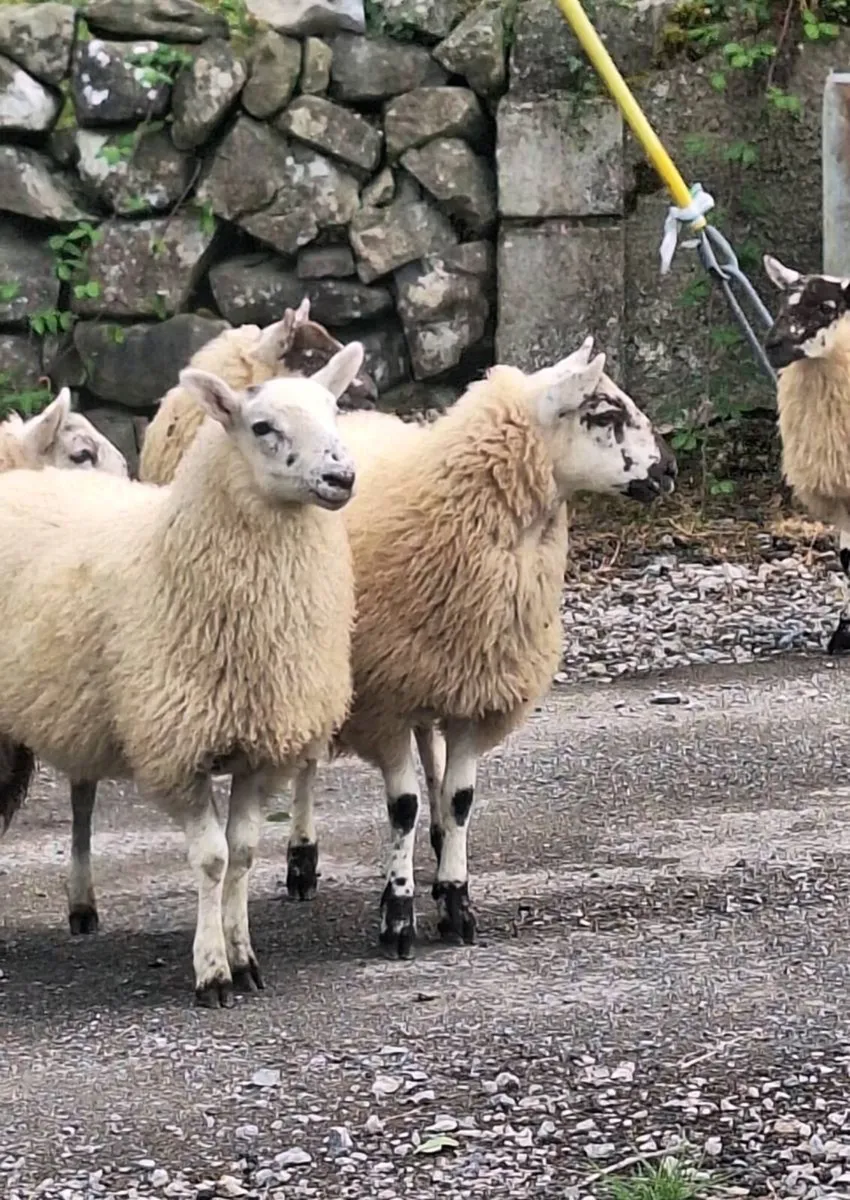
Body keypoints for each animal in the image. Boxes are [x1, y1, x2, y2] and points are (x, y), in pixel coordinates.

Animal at [0, 343, 363, 1005]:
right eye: (262, 426)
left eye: (333, 411)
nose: (341, 478)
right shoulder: (178, 744)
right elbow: (212, 860)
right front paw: (212, 971)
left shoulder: (260, 747)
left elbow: (243, 853)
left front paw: (243, 959)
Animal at [293, 337, 677, 956]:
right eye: (604, 414)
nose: (670, 469)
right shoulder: (383, 703)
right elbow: (400, 807)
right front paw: (397, 915)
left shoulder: (476, 691)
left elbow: (459, 798)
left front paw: (455, 902)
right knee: (305, 763)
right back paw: (300, 861)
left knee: (431, 761)